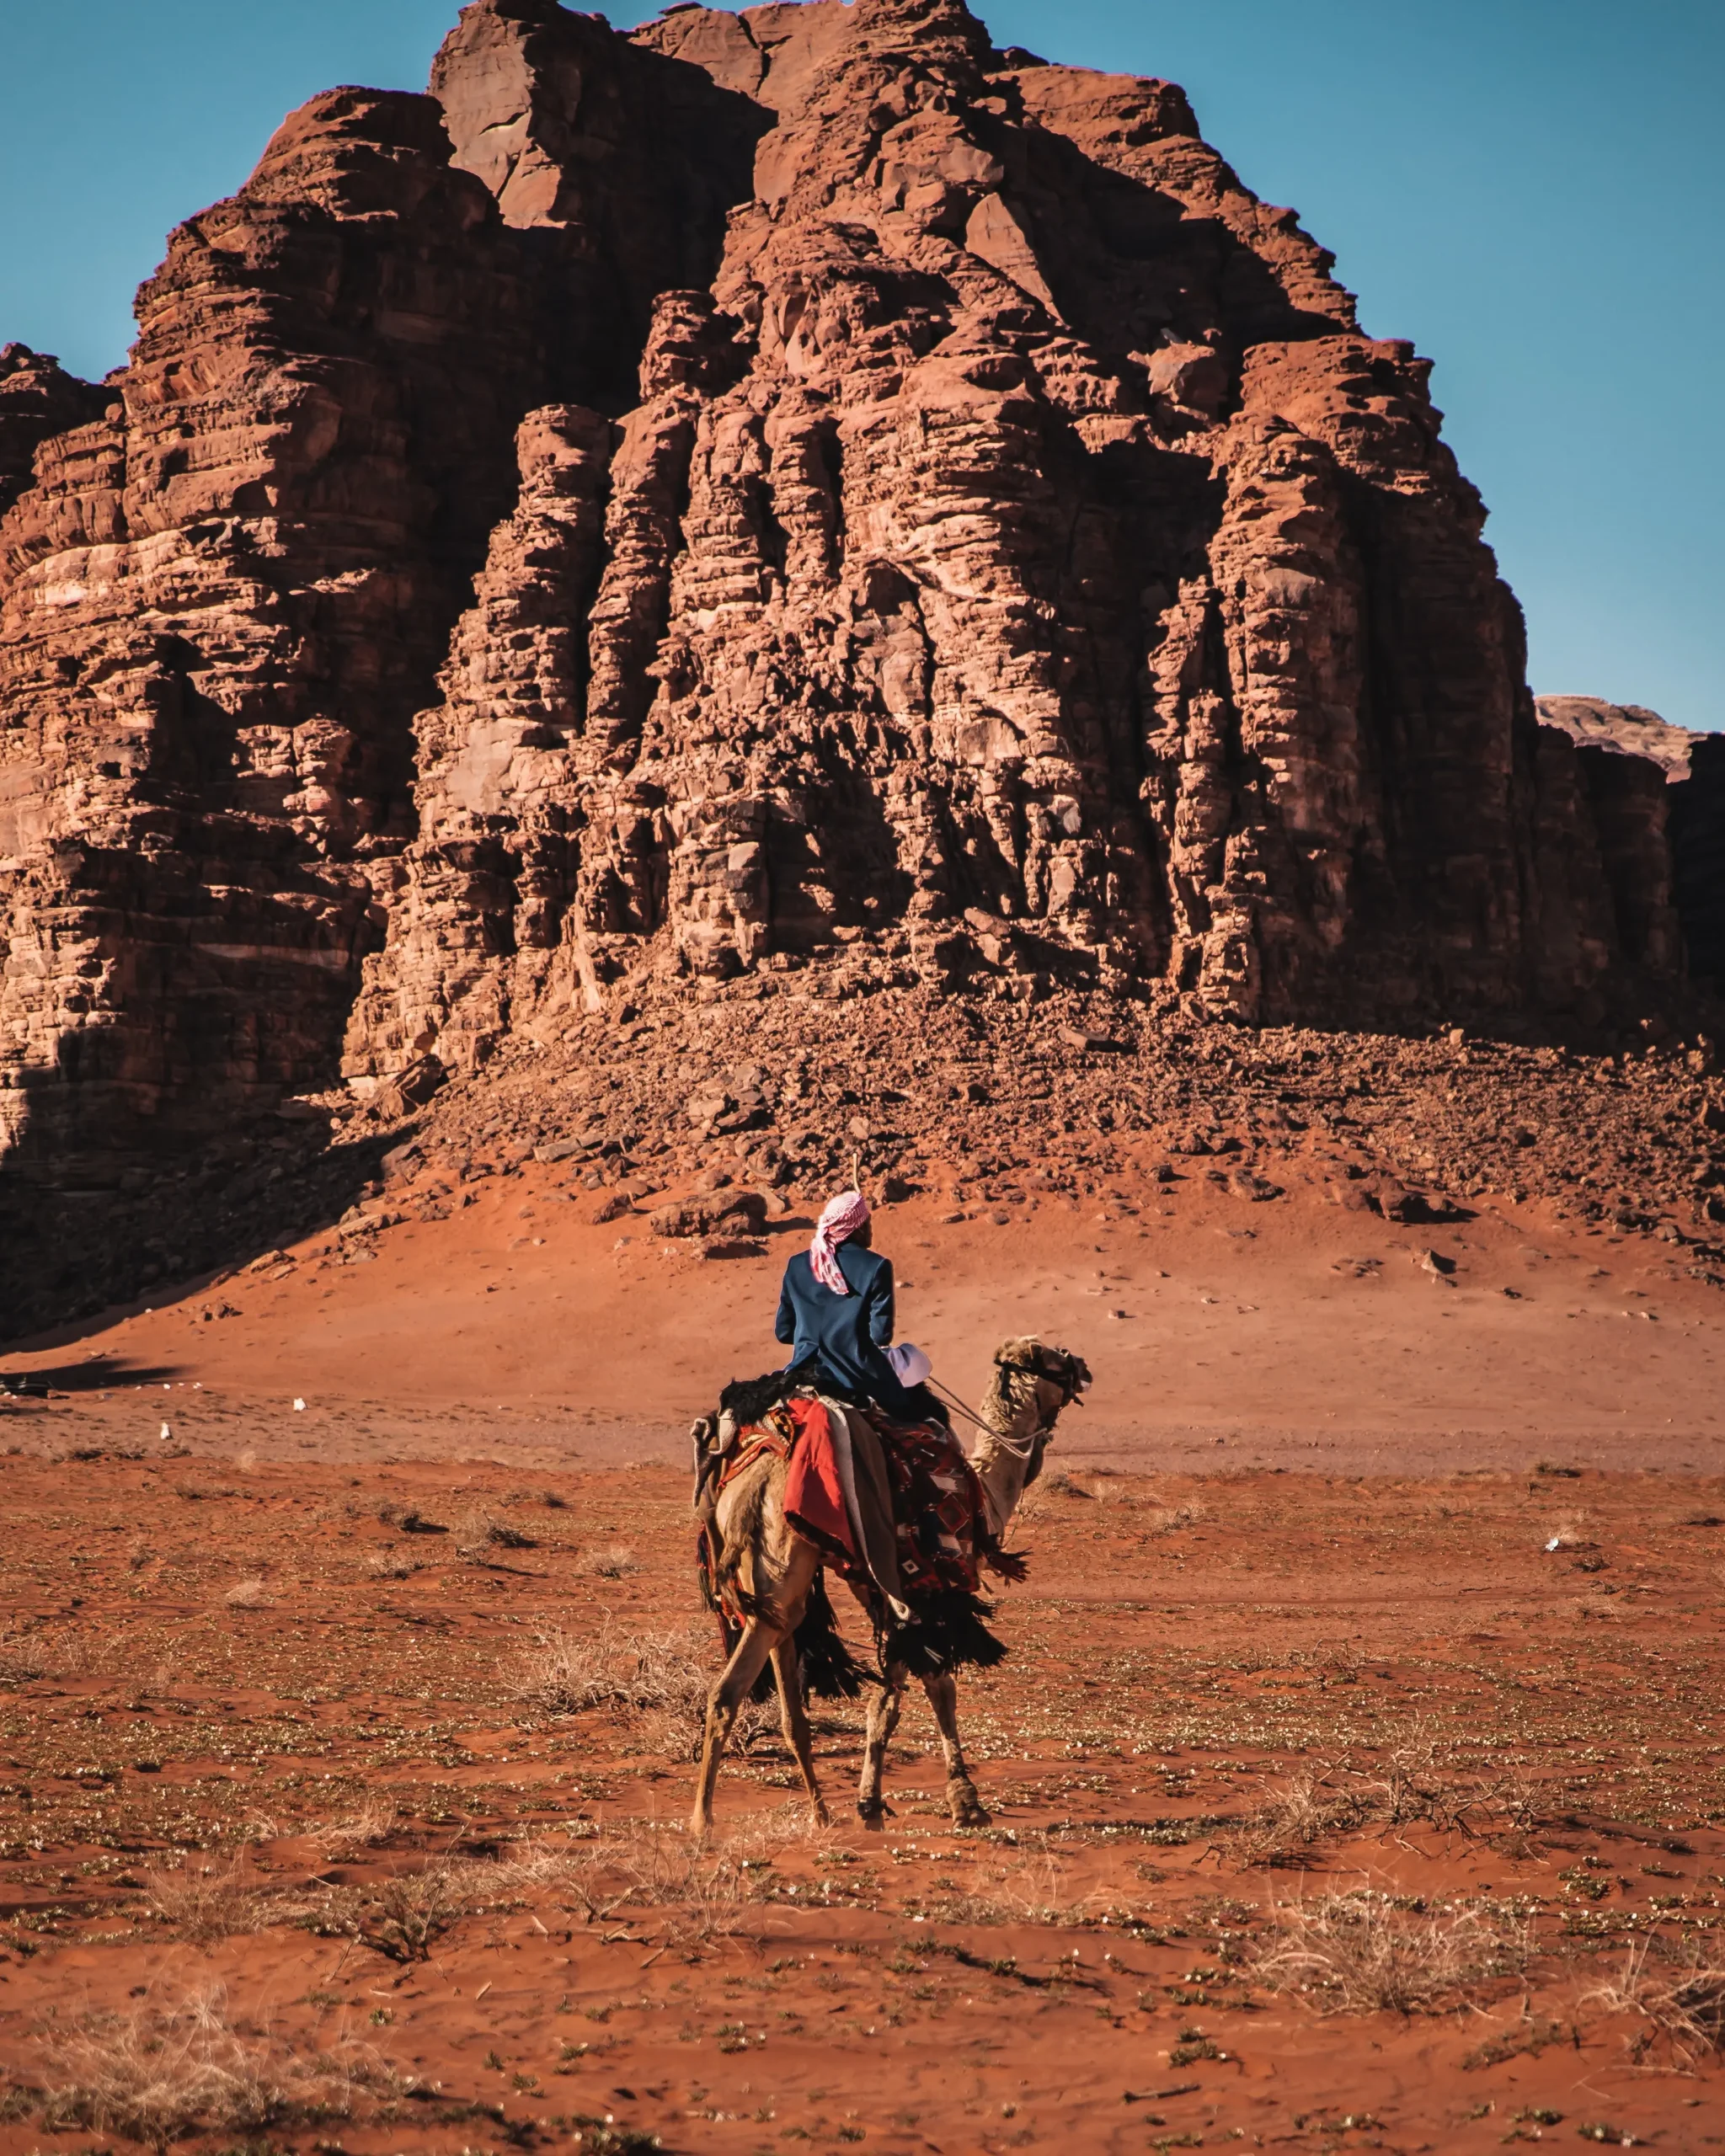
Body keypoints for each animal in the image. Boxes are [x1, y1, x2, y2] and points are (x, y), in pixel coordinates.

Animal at [690, 1337, 1087, 1845]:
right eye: (1054, 1357)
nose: (1083, 1367)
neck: (985, 1497)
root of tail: (752, 1479)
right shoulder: (924, 1589)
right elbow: (934, 1688)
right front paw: (965, 1804)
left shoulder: (881, 1593)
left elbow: (883, 1700)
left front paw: (869, 1805)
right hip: (784, 1584)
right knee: (726, 1694)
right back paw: (702, 1821)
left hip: (776, 1594)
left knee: (786, 1707)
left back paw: (820, 1813)